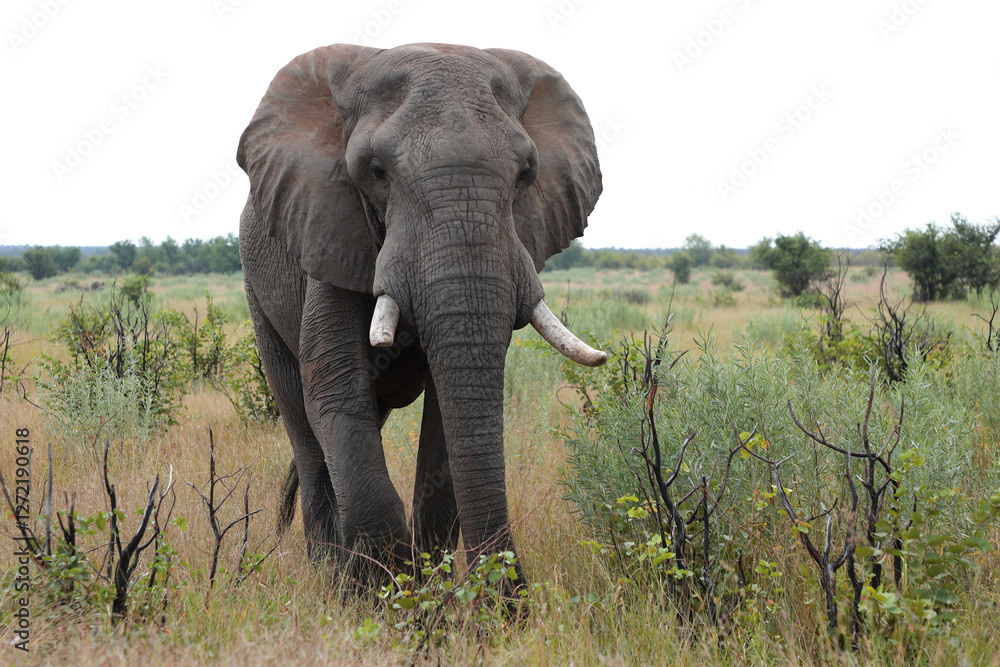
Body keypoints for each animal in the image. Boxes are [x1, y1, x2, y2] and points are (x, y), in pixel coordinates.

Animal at [236, 42, 606, 584]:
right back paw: (328, 570)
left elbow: (445, 417)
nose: (513, 592)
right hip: (257, 289)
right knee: (304, 427)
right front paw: (383, 586)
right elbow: (333, 386)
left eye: (526, 174)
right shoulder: (329, 229)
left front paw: (429, 587)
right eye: (376, 172)